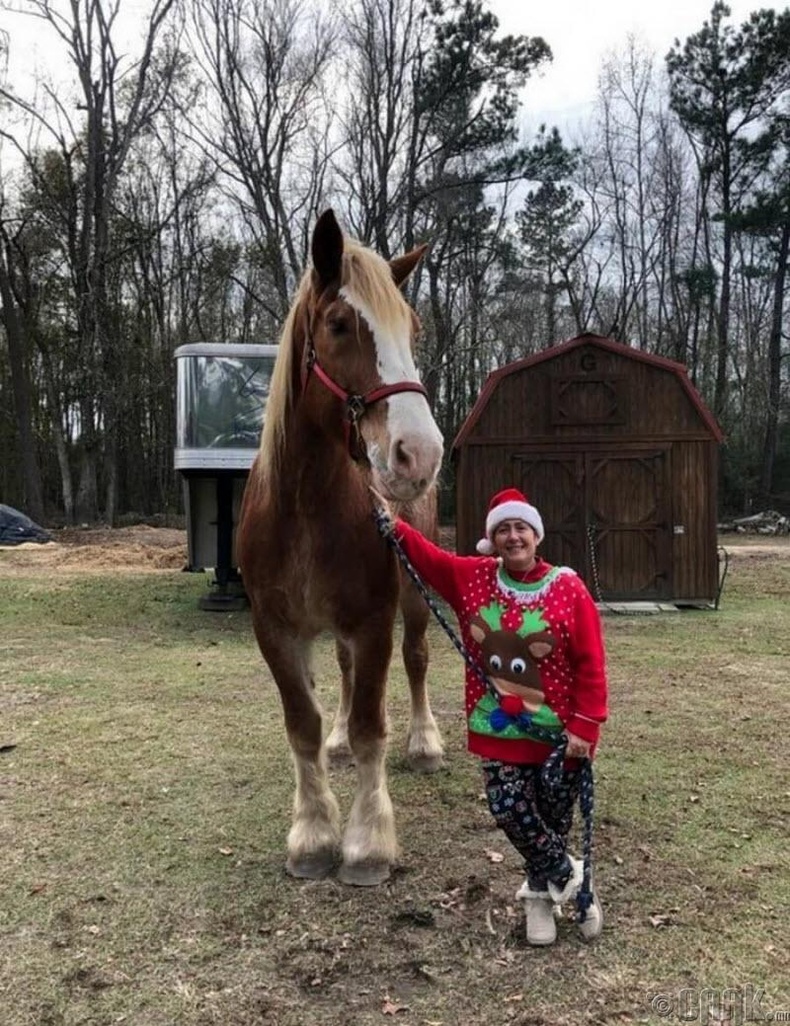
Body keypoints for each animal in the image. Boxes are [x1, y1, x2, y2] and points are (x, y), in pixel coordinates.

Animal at [235, 208, 443, 882]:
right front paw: (312, 834)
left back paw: (425, 741)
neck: (303, 506)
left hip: (413, 598)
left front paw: (369, 841)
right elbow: (303, 723)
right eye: (338, 324)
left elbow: (374, 724)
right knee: (347, 676)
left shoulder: (374, 617)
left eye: (413, 329)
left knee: (416, 660)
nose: (419, 454)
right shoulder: (274, 628)